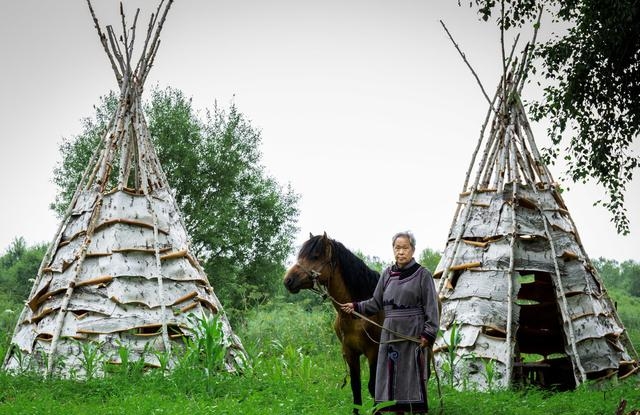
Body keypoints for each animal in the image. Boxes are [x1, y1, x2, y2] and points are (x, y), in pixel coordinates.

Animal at [284, 232, 382, 414]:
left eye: (315, 256)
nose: (288, 280)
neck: (358, 312)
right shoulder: (350, 353)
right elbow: (356, 389)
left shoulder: (374, 352)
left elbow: (373, 387)